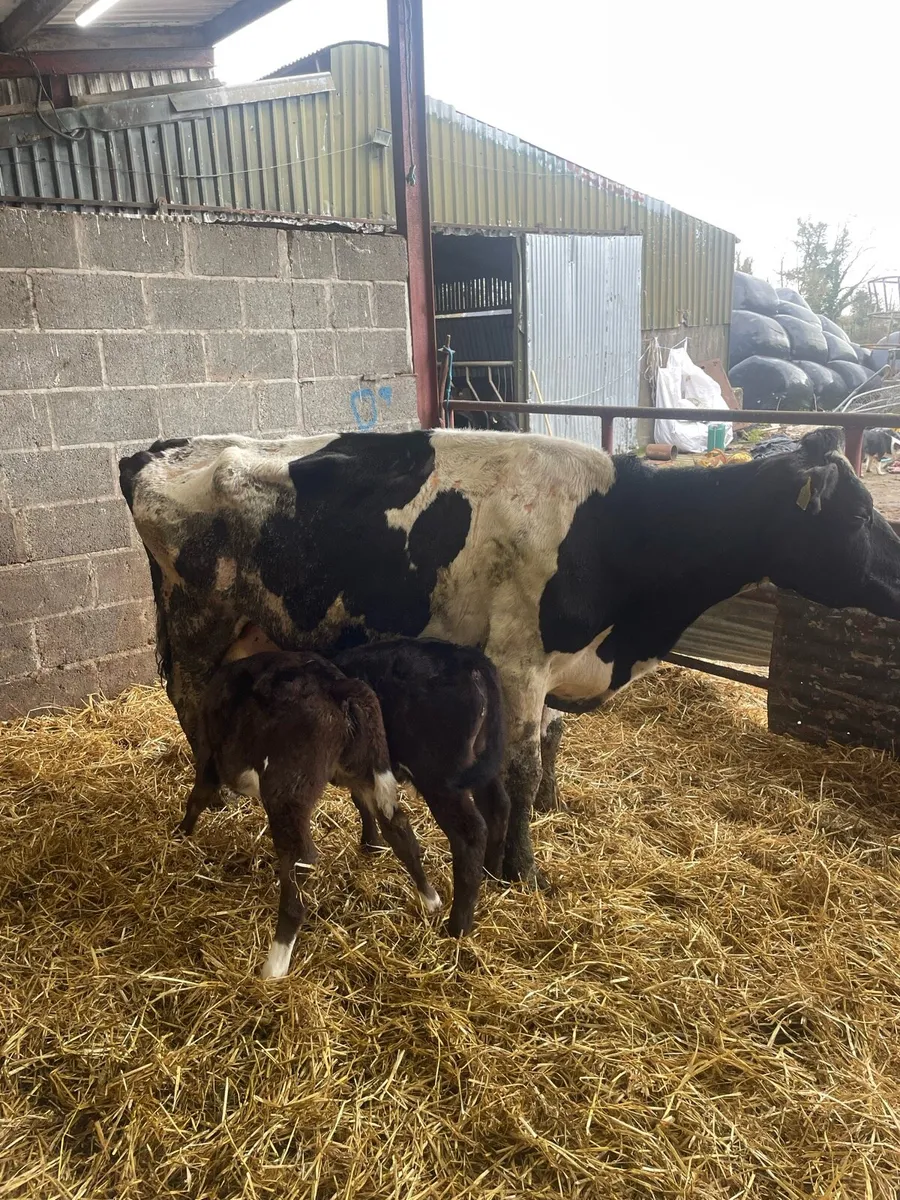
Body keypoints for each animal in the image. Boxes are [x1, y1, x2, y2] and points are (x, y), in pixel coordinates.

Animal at [119, 426, 900, 888]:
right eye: (863, 515)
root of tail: (164, 447)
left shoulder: (548, 671)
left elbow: (548, 743)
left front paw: (516, 838)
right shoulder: (521, 662)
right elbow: (520, 769)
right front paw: (518, 868)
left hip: (269, 631)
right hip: (198, 622)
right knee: (191, 703)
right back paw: (207, 810)